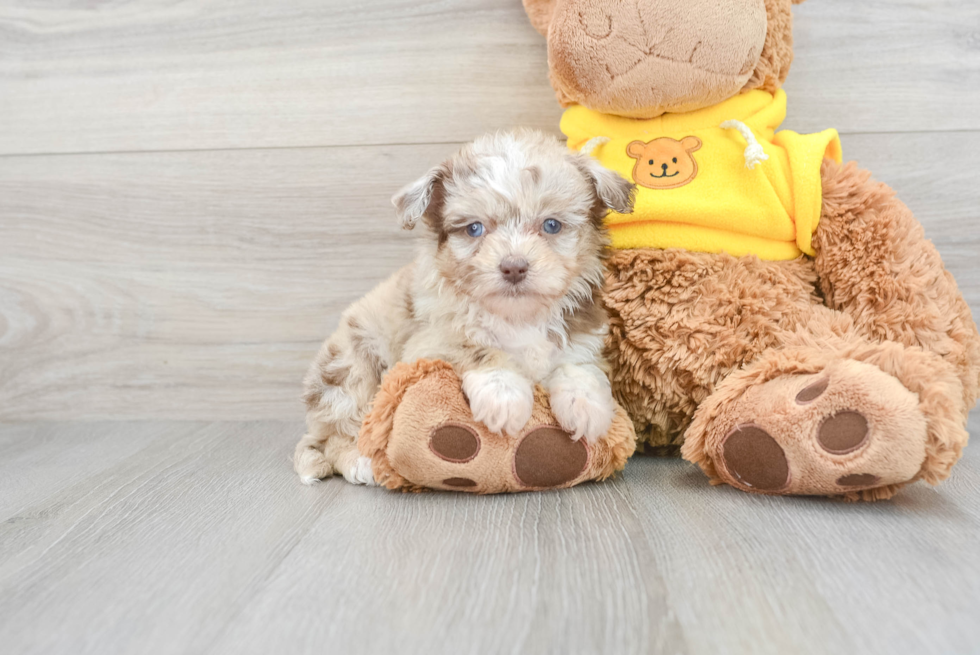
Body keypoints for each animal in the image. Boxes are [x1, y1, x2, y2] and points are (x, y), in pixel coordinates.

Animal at [294, 131, 636, 484]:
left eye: (552, 225)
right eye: (474, 228)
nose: (514, 267)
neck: (517, 316)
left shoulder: (584, 332)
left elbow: (578, 364)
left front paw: (586, 405)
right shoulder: (429, 340)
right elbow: (475, 346)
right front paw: (504, 396)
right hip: (351, 371)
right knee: (334, 435)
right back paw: (359, 461)